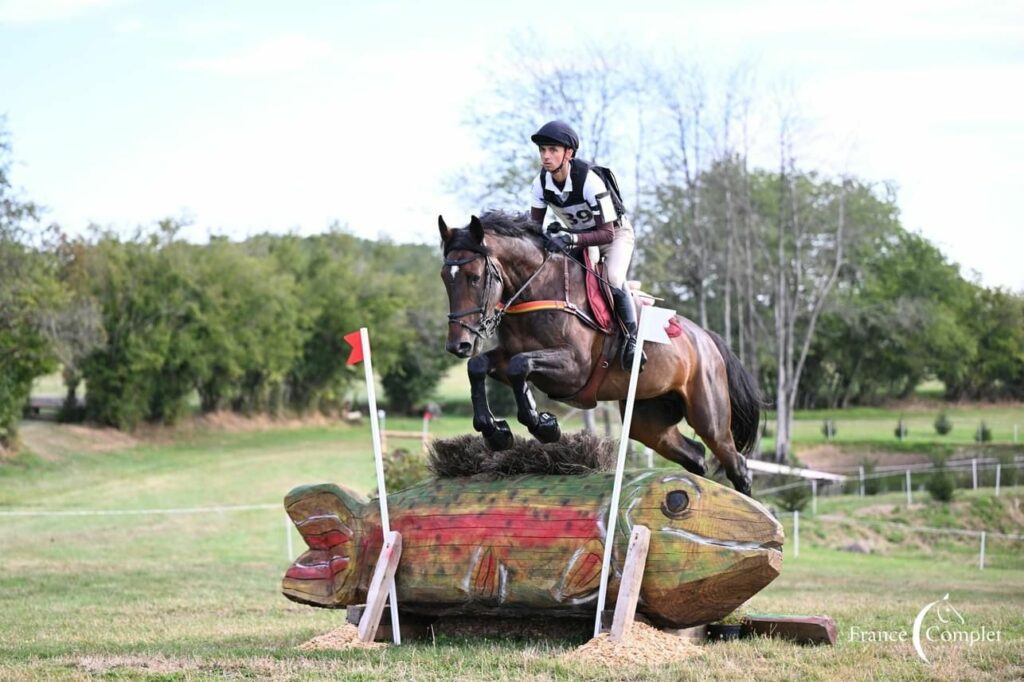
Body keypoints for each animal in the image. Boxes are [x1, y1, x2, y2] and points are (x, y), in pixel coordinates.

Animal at [436, 209, 765, 491]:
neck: (537, 288)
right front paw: (496, 433)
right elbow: (480, 366)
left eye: (475, 277)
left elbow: (521, 366)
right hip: (647, 420)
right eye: (444, 279)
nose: (458, 344)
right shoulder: (508, 357)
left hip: (709, 416)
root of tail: (707, 339)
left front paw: (544, 425)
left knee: (736, 464)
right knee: (694, 455)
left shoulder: (573, 369)